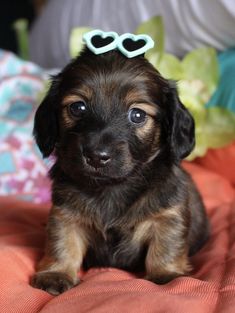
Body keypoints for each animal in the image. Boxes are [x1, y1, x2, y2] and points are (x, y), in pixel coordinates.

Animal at [31, 47, 209, 294]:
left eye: (137, 115)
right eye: (78, 107)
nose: (96, 156)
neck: (111, 187)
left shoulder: (168, 217)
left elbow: (165, 247)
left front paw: (166, 274)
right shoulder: (65, 215)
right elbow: (63, 243)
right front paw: (56, 273)